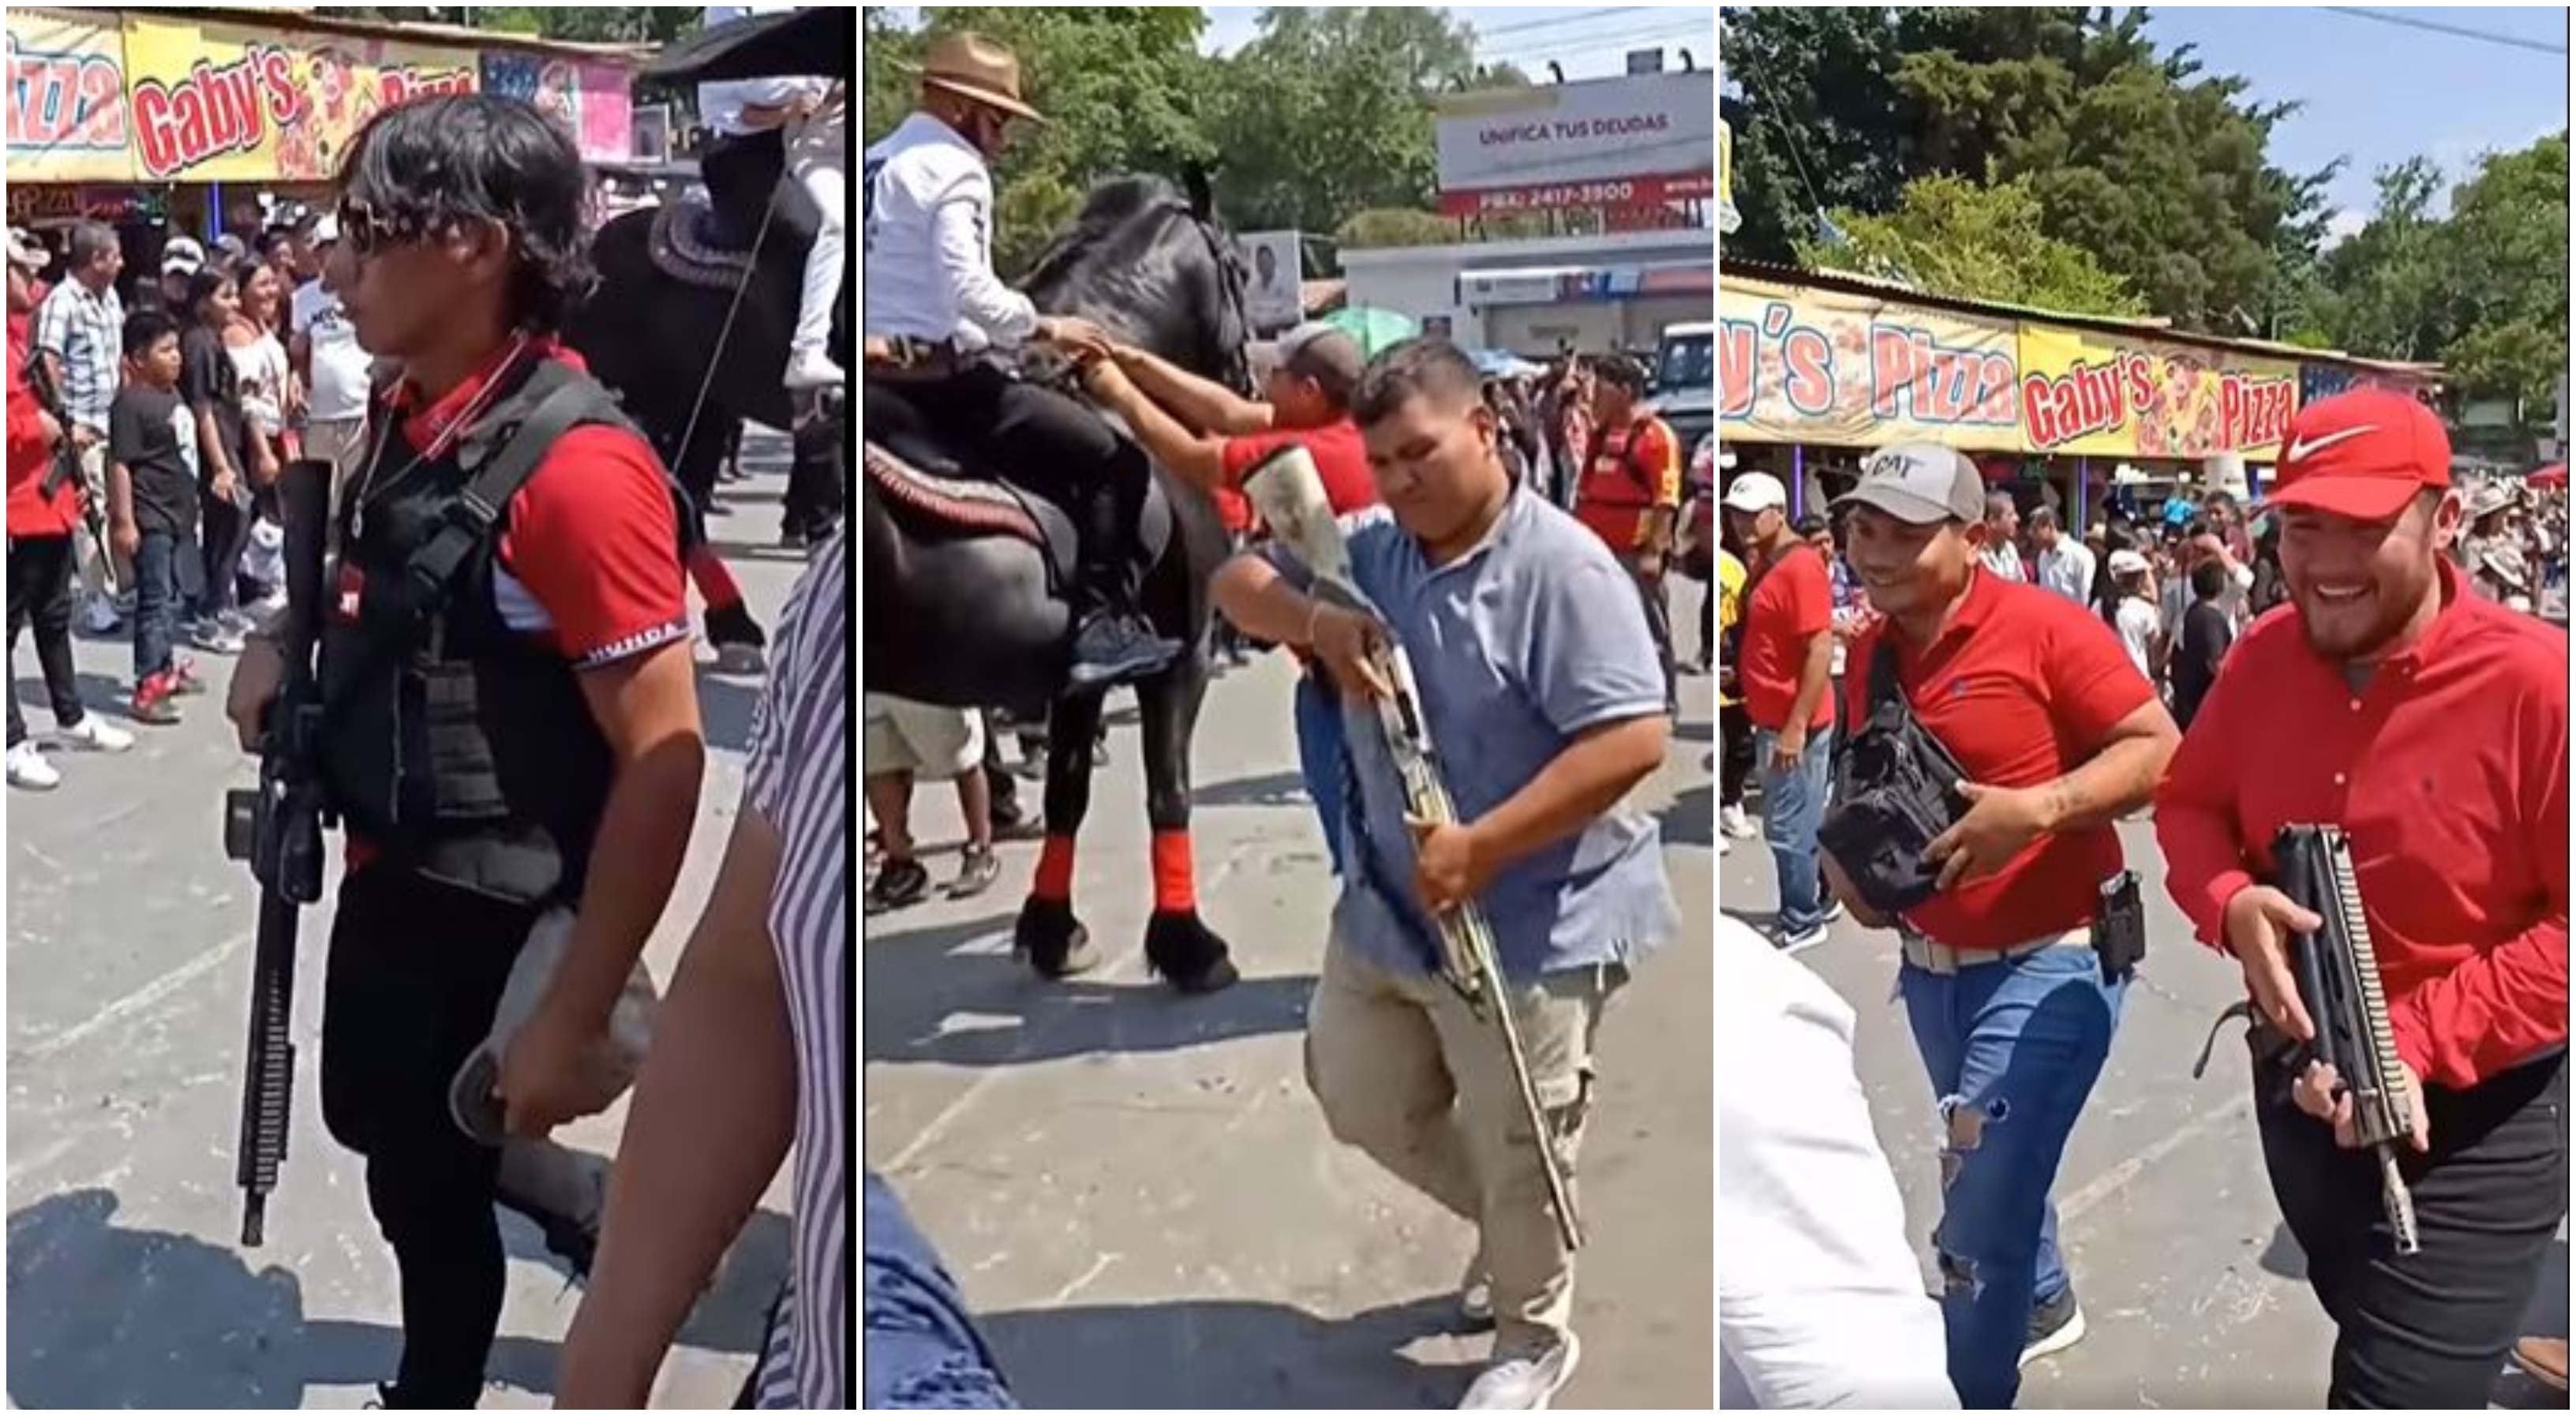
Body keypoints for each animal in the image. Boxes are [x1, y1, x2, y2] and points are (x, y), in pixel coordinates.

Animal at [860, 174, 1252, 998]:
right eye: (1240, 267)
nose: (1245, 380)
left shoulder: (1076, 676)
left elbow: (1067, 793)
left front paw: (1051, 930)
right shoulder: (1182, 658)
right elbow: (1169, 792)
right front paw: (1188, 944)